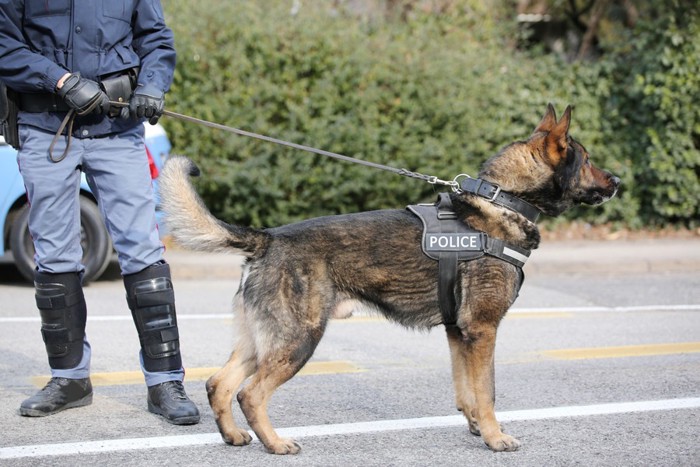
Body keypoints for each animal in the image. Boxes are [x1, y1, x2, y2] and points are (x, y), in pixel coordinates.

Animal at [157, 104, 616, 456]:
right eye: (587, 160)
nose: (619, 181)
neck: (503, 200)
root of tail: (267, 238)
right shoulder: (482, 330)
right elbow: (486, 392)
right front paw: (495, 437)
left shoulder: (458, 334)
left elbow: (465, 390)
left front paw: (476, 428)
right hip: (299, 340)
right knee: (249, 393)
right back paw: (275, 443)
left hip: (262, 341)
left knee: (218, 384)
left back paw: (234, 436)